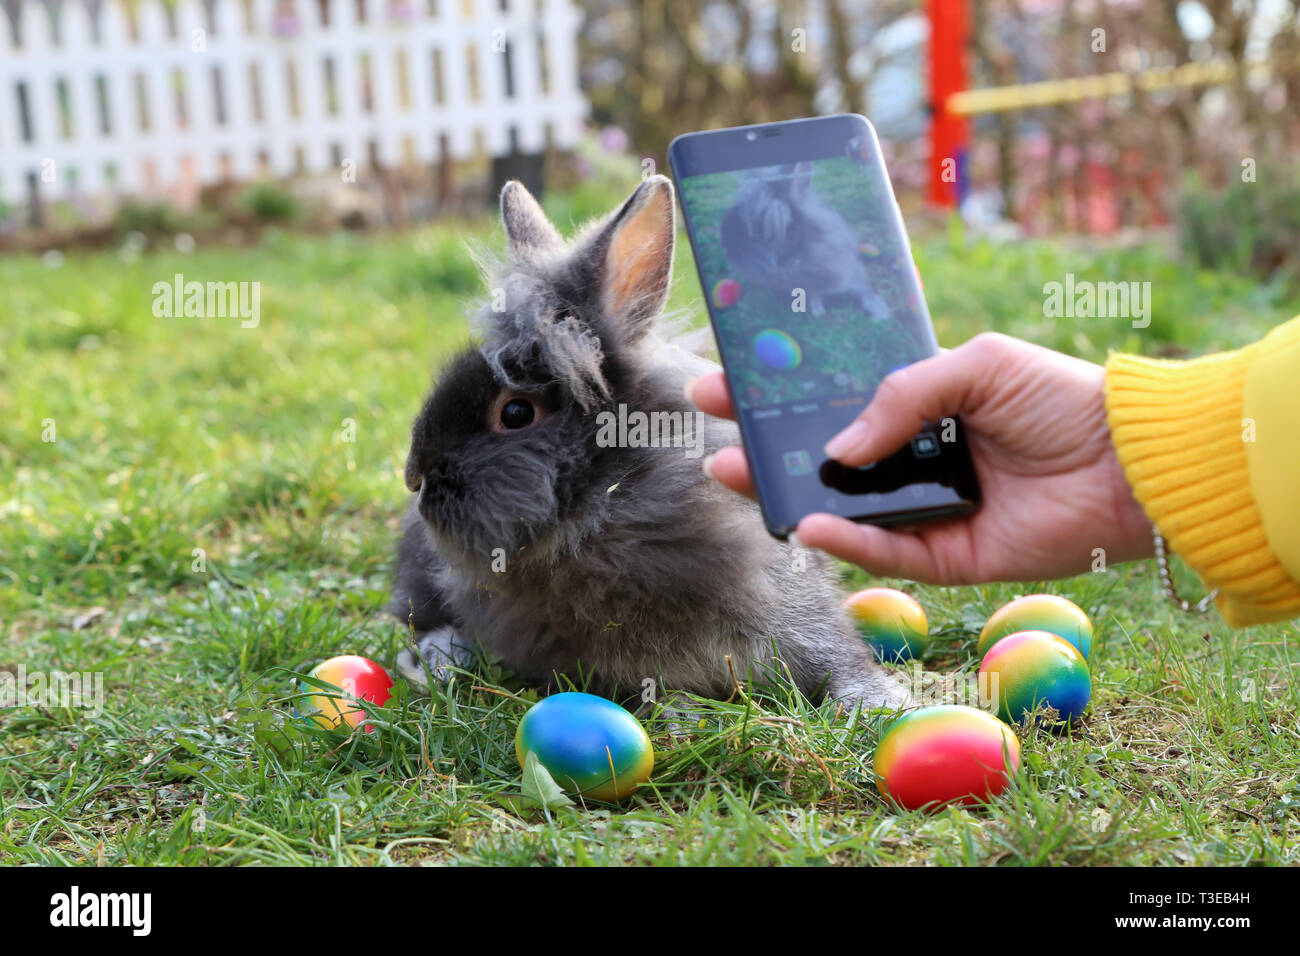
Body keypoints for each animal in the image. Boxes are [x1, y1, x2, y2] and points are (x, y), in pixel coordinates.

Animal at [717, 161, 889, 317]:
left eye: (760, 228)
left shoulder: (852, 272)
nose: (726, 247)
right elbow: (813, 295)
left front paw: (881, 313)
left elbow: (865, 290)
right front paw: (817, 310)